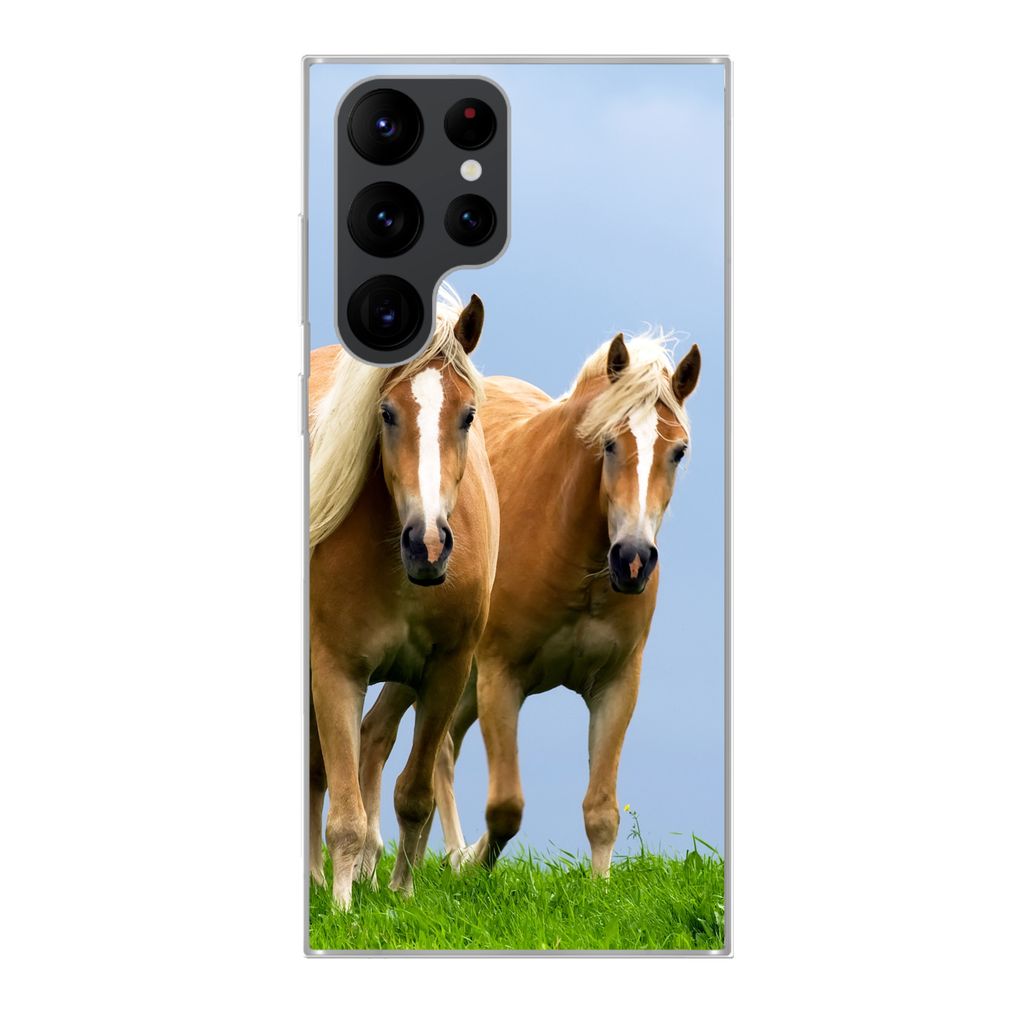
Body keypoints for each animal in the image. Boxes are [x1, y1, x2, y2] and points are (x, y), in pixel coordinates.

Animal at [308, 288, 499, 909]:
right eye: (386, 413)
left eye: (467, 415)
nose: (429, 544)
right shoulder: (333, 670)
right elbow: (343, 813)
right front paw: (342, 908)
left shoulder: (445, 673)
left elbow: (415, 795)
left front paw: (400, 896)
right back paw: (319, 880)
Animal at [360, 330, 700, 877]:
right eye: (608, 443)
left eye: (679, 451)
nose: (632, 559)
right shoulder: (502, 678)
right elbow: (506, 807)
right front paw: (473, 864)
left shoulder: (617, 684)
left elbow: (601, 810)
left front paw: (599, 886)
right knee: (394, 740)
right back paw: (399, 859)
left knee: (418, 743)